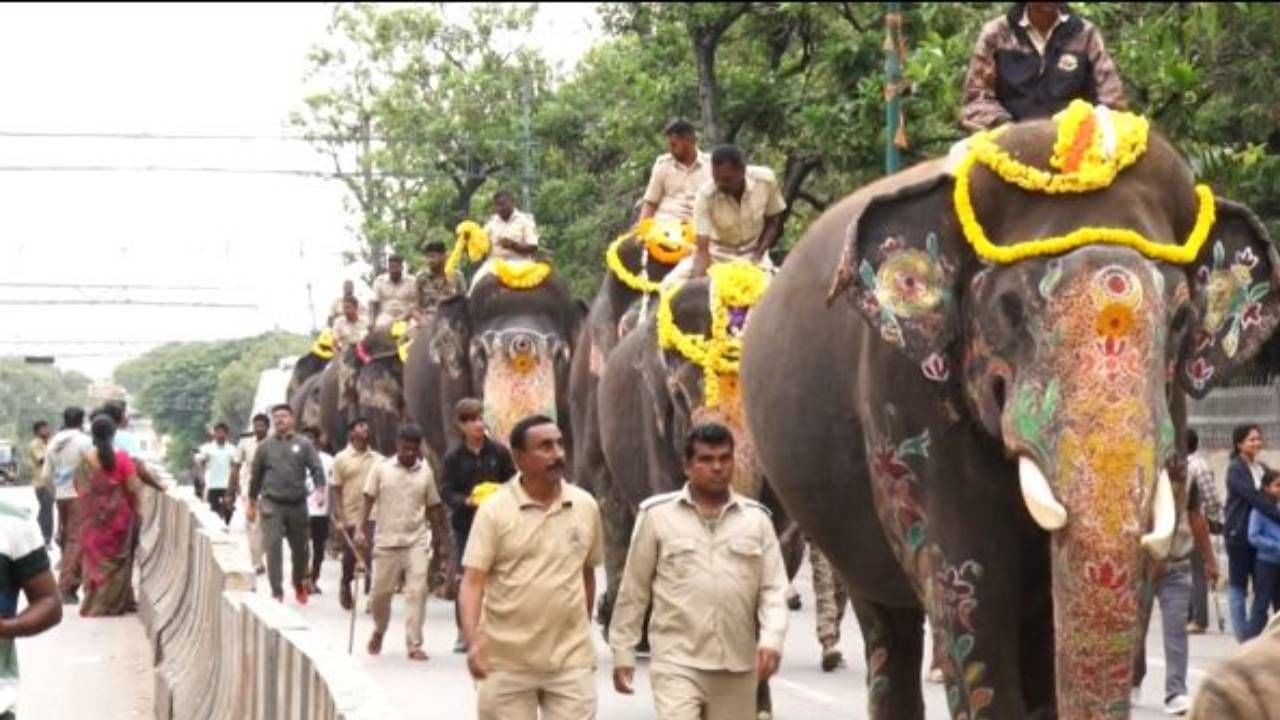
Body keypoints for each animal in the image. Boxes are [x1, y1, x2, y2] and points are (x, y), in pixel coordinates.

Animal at [742, 101, 1280, 717]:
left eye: (1182, 319)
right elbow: (971, 586)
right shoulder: (902, 400)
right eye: (1009, 307)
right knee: (885, 622)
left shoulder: (1171, 404)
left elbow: (1132, 572)